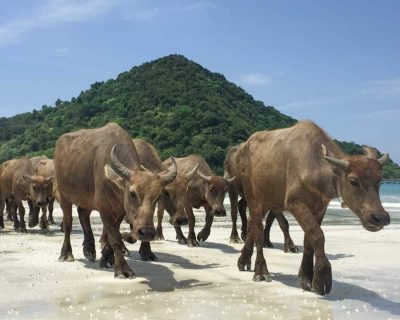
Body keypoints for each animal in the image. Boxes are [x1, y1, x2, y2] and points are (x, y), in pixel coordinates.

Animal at [54, 122, 177, 278]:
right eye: (132, 193)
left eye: (158, 197)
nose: (147, 232)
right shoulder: (104, 207)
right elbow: (114, 237)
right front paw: (122, 269)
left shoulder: (120, 209)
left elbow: (112, 233)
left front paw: (107, 257)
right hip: (64, 195)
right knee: (68, 222)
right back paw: (66, 254)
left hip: (87, 197)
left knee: (83, 213)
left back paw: (89, 249)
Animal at [236, 122, 390, 296]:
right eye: (353, 181)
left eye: (379, 182)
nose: (380, 217)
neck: (315, 166)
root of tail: (243, 147)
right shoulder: (295, 203)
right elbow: (317, 235)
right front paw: (322, 278)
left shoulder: (320, 208)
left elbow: (308, 239)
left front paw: (306, 277)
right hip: (253, 198)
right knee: (258, 230)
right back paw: (261, 271)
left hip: (266, 202)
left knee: (252, 226)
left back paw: (243, 260)